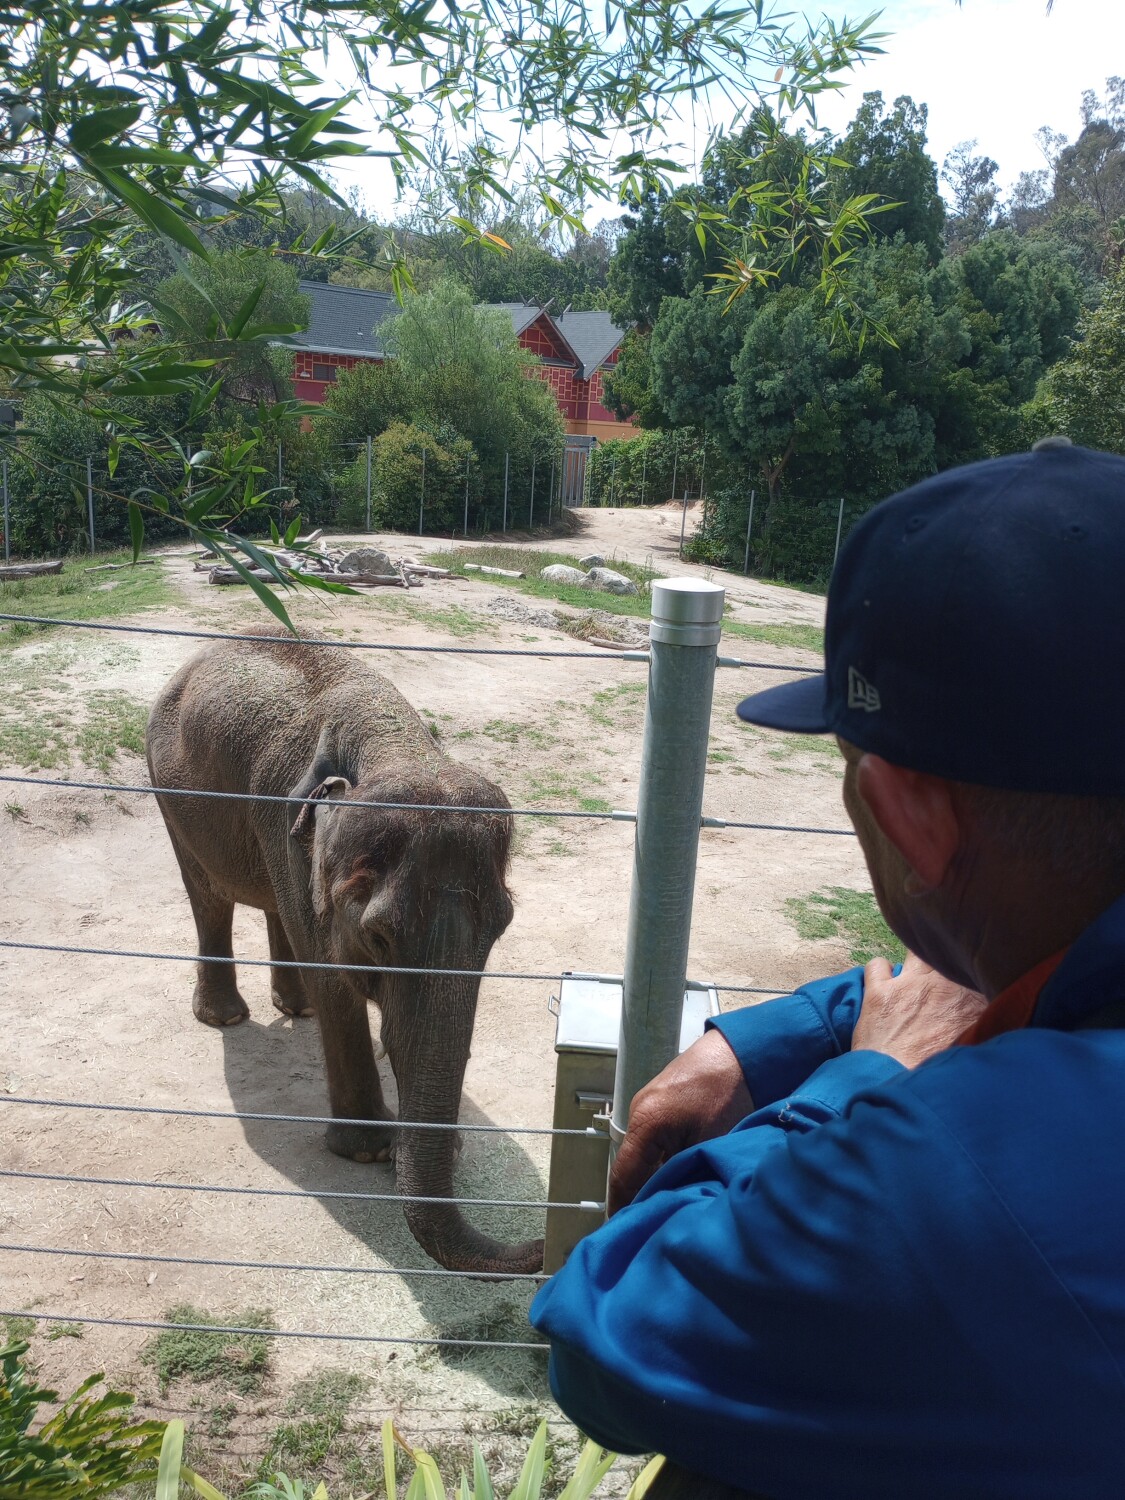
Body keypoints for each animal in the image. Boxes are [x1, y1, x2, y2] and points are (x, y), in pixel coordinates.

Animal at [145, 629, 542, 1276]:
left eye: (501, 928)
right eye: (379, 938)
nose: (541, 1246)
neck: (397, 746)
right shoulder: (281, 818)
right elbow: (336, 984)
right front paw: (369, 1153)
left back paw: (294, 1007)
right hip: (169, 793)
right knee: (208, 896)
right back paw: (226, 1017)